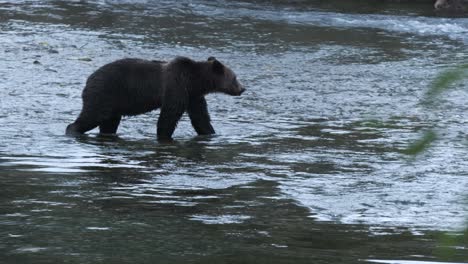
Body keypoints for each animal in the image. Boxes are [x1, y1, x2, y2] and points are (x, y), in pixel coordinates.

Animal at [65, 56, 245, 141]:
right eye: (235, 78)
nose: (243, 88)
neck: (194, 81)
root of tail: (89, 79)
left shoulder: (193, 96)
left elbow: (200, 117)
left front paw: (210, 133)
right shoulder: (176, 87)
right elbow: (169, 115)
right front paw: (165, 136)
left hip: (114, 102)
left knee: (109, 122)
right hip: (105, 93)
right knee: (92, 115)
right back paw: (73, 130)